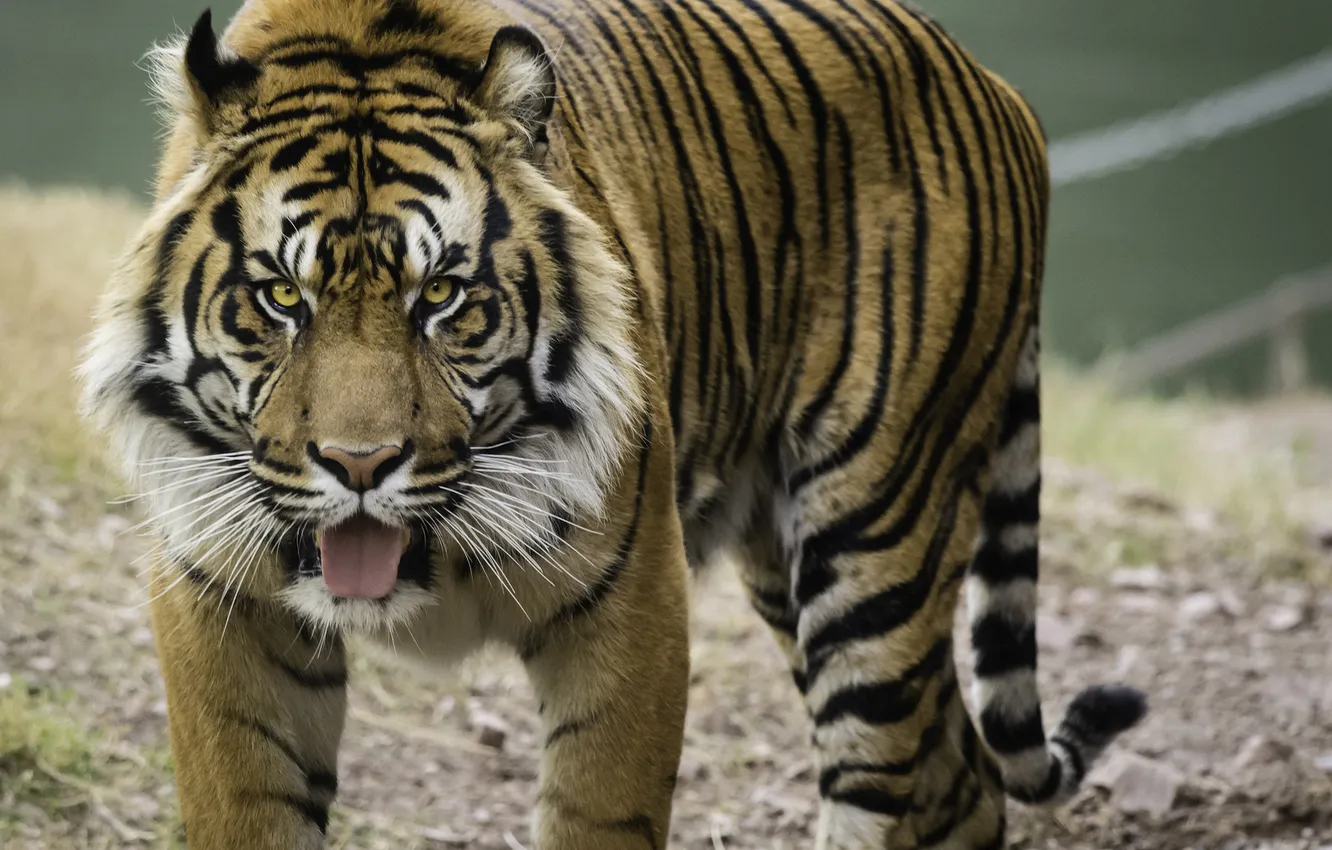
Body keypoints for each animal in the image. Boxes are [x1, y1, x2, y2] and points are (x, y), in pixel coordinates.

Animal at [78, 0, 1147, 847]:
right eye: (281, 297)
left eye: (442, 296)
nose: (360, 464)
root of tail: (994, 83)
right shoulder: (221, 602)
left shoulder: (633, 601)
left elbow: (601, 809)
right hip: (785, 556)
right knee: (963, 780)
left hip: (877, 533)